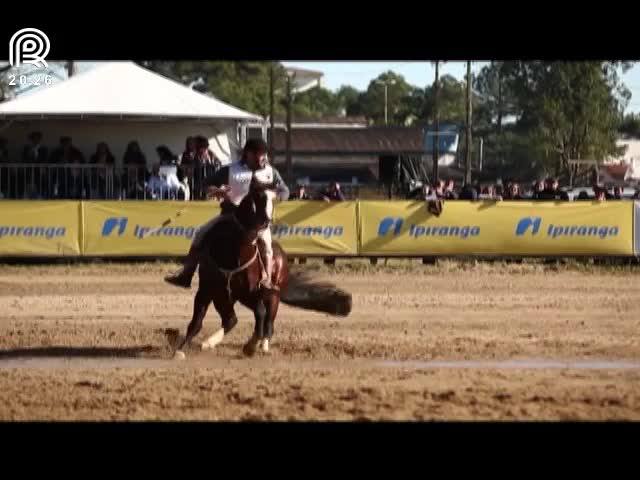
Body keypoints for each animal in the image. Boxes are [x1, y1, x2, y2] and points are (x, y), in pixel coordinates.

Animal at [172, 181, 352, 360]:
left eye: (275, 198)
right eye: (258, 196)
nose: (267, 221)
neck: (234, 254)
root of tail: (282, 257)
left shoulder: (250, 292)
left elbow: (260, 314)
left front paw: (250, 347)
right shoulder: (207, 291)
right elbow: (196, 321)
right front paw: (179, 350)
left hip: (271, 297)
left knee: (267, 321)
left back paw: (262, 346)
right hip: (228, 297)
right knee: (232, 320)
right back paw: (209, 343)